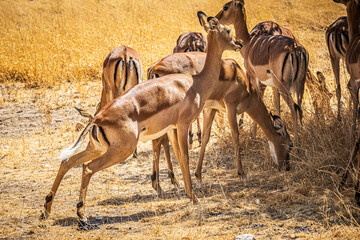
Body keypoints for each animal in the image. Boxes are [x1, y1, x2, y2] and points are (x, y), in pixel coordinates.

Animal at [40, 17, 243, 229]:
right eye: (227, 30)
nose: (239, 43)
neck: (195, 83)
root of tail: (98, 118)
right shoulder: (183, 125)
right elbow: (185, 157)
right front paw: (194, 196)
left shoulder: (172, 128)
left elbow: (178, 156)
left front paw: (186, 193)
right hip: (120, 151)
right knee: (87, 168)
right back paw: (81, 215)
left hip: (97, 148)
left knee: (67, 162)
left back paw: (46, 210)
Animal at [214, 0, 310, 138]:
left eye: (225, 7)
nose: (216, 18)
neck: (248, 43)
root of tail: (295, 49)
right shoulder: (273, 86)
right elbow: (277, 105)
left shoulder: (254, 78)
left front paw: (253, 135)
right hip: (299, 85)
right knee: (300, 107)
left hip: (284, 86)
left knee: (293, 107)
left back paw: (296, 139)